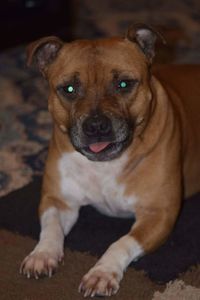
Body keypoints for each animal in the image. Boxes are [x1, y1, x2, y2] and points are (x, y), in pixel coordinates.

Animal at [19, 24, 200, 296]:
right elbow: (51, 227)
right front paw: (42, 253)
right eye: (69, 88)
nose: (96, 126)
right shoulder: (58, 201)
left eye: (124, 84)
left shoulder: (159, 214)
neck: (104, 164)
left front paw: (102, 272)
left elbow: (122, 242)